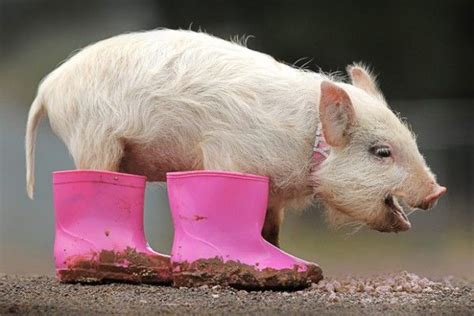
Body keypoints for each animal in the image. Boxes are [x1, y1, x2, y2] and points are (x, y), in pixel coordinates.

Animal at [25, 29, 448, 247]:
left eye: (410, 140)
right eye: (382, 152)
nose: (437, 190)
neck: (306, 144)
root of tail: (49, 86)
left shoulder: (274, 192)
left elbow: (270, 230)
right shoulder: (229, 157)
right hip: (94, 139)